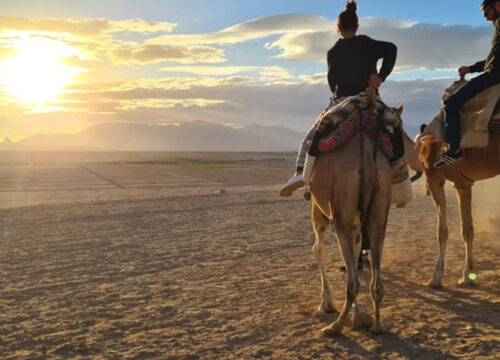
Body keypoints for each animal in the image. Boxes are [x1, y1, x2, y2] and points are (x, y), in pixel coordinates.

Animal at [308, 105, 402, 336]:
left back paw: (335, 326)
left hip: (339, 217)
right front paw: (357, 314)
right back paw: (377, 326)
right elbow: (356, 249)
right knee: (376, 284)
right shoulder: (358, 223)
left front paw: (326, 303)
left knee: (353, 283)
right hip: (379, 216)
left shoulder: (319, 210)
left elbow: (318, 250)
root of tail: (366, 157)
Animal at [402, 128, 500, 288]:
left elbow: (442, 231)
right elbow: (467, 229)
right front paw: (468, 277)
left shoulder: (434, 177)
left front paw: (435, 278)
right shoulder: (463, 183)